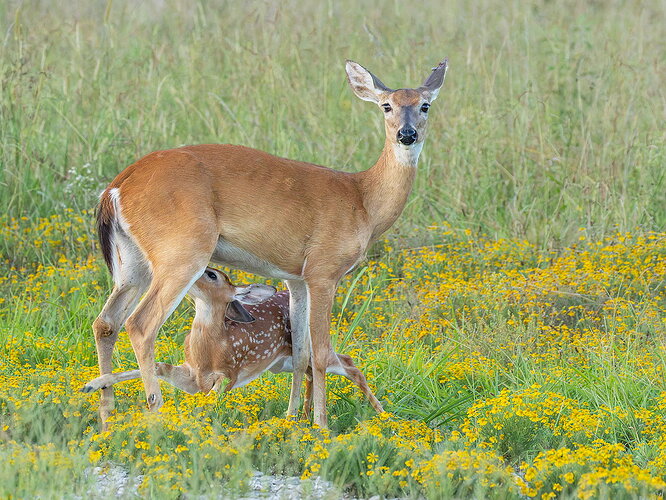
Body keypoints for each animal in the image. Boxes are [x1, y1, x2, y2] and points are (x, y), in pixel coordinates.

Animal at [82, 267, 384, 417]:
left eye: (212, 274)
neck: (209, 349)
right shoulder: (191, 376)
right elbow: (158, 366)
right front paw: (93, 384)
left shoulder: (229, 373)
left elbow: (214, 392)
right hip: (282, 362)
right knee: (312, 372)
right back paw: (306, 414)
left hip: (310, 350)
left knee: (349, 364)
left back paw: (382, 416)